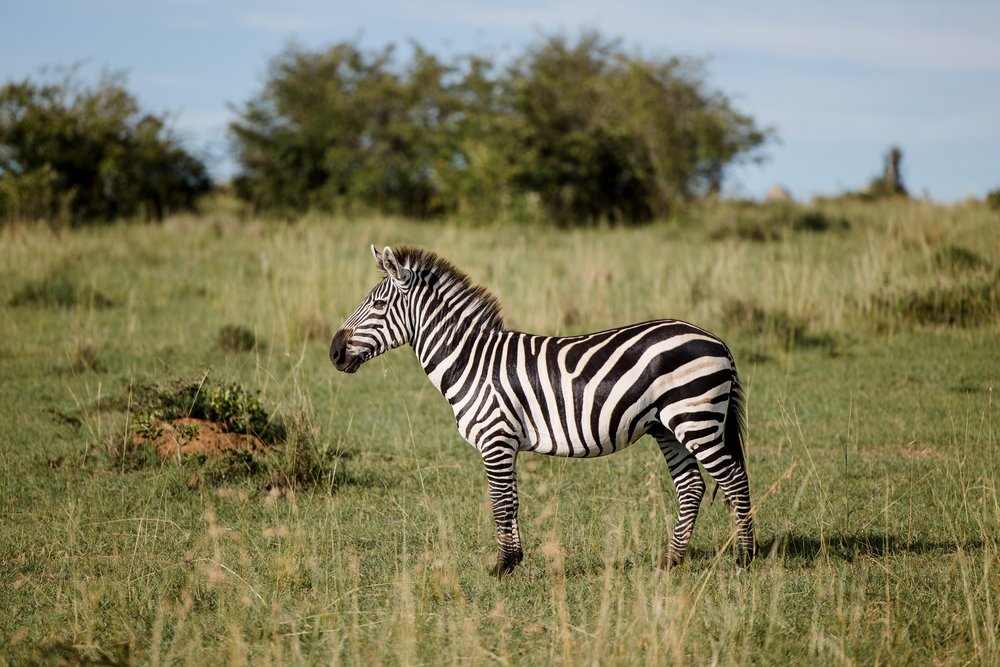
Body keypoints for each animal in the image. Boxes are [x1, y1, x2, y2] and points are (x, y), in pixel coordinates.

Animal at [332, 248, 752, 576]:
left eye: (379, 305)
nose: (334, 352)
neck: (470, 360)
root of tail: (717, 340)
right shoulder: (505, 443)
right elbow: (512, 501)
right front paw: (513, 559)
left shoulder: (495, 438)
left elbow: (500, 502)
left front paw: (502, 566)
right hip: (667, 425)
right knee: (692, 486)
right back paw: (671, 560)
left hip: (695, 418)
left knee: (733, 479)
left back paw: (743, 559)